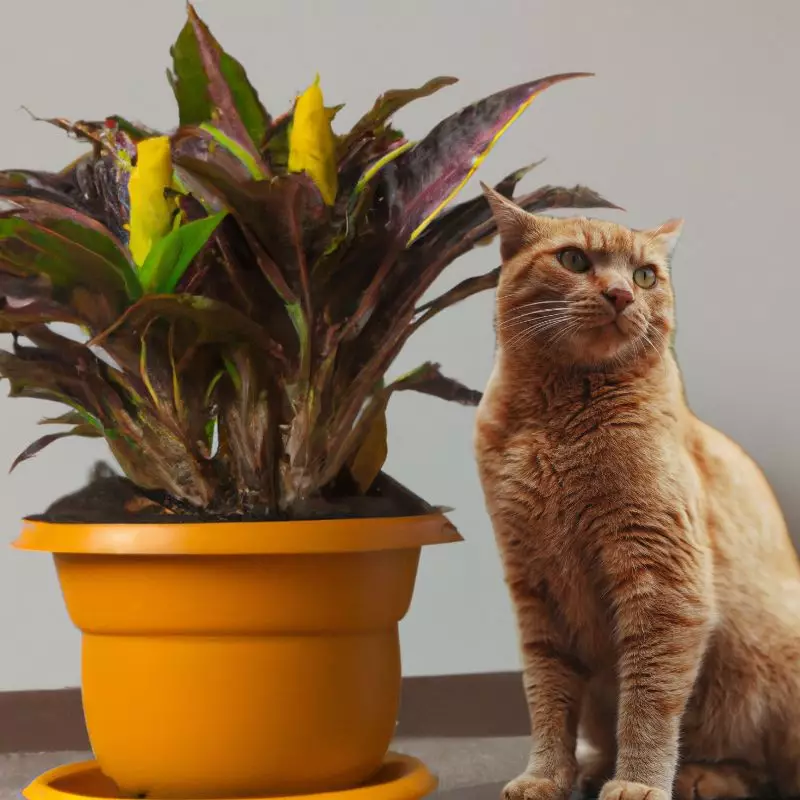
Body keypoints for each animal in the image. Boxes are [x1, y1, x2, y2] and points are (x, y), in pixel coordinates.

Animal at [476, 184, 800, 800]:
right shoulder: (535, 588)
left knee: (760, 767)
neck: (556, 422)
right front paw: (548, 775)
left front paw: (638, 782)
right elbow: (547, 698)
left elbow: (649, 703)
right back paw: (596, 766)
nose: (622, 293)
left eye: (646, 275)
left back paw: (699, 775)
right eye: (574, 260)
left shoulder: (665, 581)